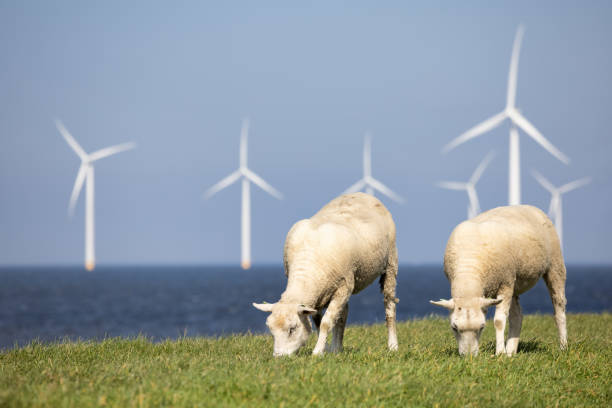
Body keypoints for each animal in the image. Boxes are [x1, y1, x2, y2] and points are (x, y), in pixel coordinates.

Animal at [252, 193, 400, 356]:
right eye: (271, 330)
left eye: (292, 329)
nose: (279, 357)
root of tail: (362, 194)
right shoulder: (318, 295)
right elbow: (319, 322)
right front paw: (326, 349)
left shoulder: (343, 287)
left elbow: (325, 323)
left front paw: (317, 352)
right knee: (342, 315)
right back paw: (337, 348)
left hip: (390, 263)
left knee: (389, 307)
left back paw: (393, 345)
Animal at [430, 206, 568, 356]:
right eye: (454, 327)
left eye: (482, 327)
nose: (469, 356)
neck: (469, 271)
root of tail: (529, 207)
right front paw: (504, 352)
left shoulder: (505, 284)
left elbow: (499, 321)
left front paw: (500, 353)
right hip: (514, 282)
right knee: (517, 317)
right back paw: (511, 351)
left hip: (554, 265)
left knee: (559, 307)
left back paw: (563, 346)